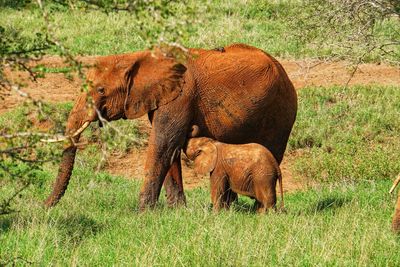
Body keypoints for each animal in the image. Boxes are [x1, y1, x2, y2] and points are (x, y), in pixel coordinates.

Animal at [45, 44, 298, 211]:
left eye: (100, 90)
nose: (43, 207)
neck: (140, 58)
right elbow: (171, 149)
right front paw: (177, 210)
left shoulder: (180, 97)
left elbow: (163, 145)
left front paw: (142, 213)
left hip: (280, 111)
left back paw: (256, 210)